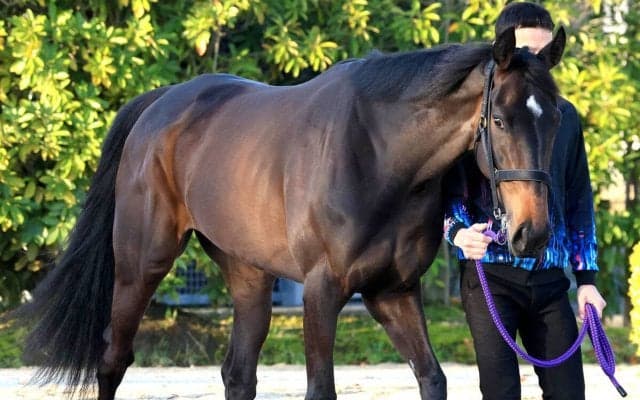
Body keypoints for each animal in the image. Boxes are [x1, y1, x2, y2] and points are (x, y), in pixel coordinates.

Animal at [19, 26, 566, 400]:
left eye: (556, 119)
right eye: (499, 120)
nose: (532, 233)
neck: (380, 156)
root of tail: (161, 105)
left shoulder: (393, 292)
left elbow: (432, 378)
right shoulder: (322, 291)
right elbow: (320, 389)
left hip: (248, 276)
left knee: (238, 374)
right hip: (140, 267)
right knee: (113, 359)